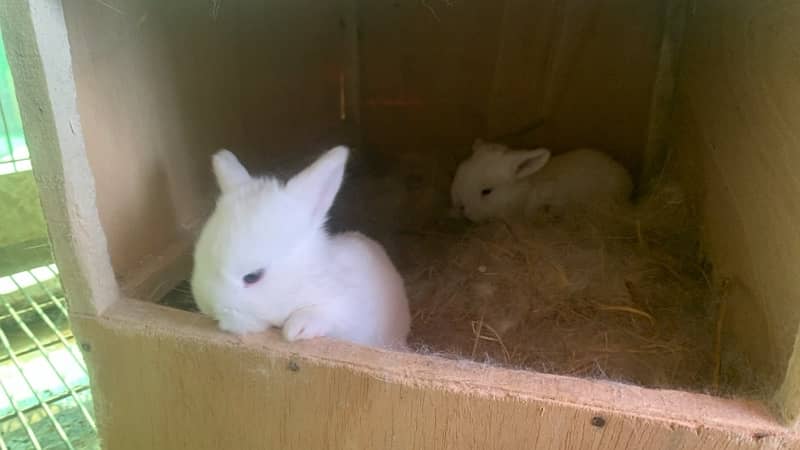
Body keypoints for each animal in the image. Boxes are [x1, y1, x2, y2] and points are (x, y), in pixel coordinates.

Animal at [190, 146, 410, 350]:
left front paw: (297, 328)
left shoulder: (346, 308)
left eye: (253, 277)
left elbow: (327, 312)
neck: (303, 280)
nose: (209, 308)